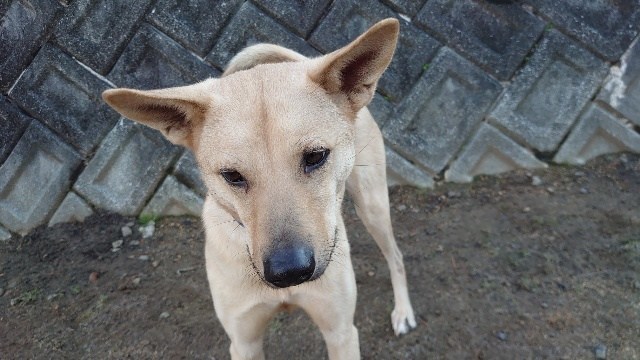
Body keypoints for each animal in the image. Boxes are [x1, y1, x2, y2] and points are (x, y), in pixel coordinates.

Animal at [101, 19, 416, 360]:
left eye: (316, 156)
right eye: (232, 175)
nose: (289, 272)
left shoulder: (341, 332)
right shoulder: (244, 340)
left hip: (372, 206)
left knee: (397, 256)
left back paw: (403, 311)